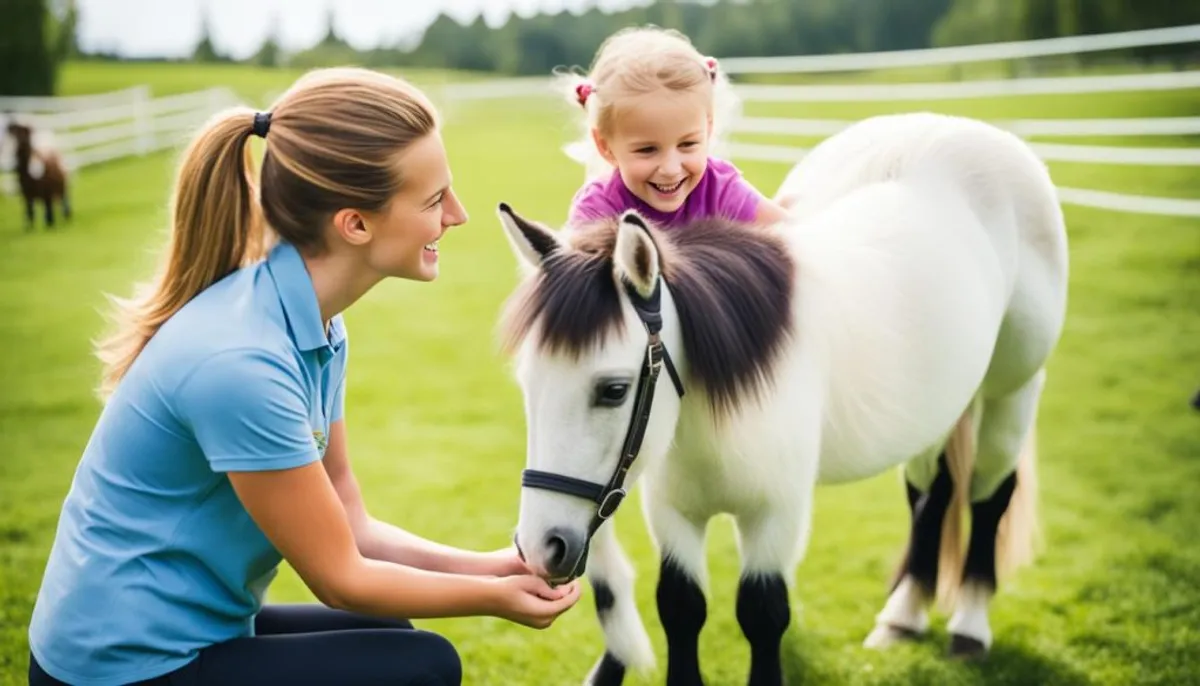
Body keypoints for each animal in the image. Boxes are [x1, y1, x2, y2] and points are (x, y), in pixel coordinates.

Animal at [494, 112, 1070, 686]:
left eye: (612, 390)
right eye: (528, 384)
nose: (542, 547)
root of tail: (951, 123)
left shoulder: (777, 513)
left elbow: (762, 612)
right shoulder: (675, 514)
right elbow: (680, 606)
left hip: (1014, 389)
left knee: (990, 494)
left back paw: (970, 628)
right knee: (933, 491)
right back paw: (903, 618)